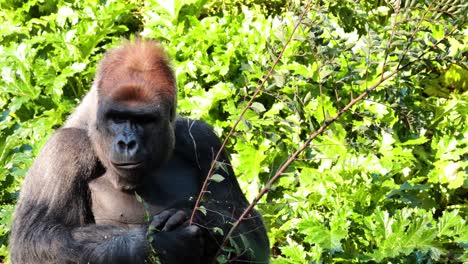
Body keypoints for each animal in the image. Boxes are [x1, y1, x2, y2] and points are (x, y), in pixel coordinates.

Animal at [9, 39, 268, 264]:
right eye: (118, 117)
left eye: (144, 120)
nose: (127, 143)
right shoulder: (63, 150)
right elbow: (37, 240)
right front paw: (160, 243)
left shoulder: (205, 140)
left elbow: (250, 230)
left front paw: (200, 220)